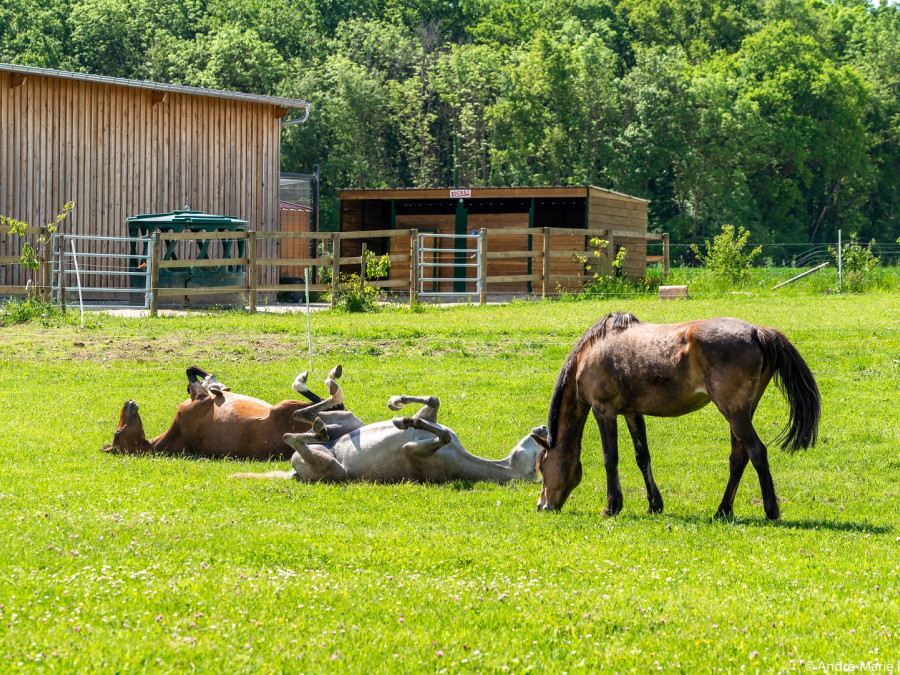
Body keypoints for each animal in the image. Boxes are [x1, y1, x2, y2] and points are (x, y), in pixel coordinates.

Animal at [536, 314, 824, 520]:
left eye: (541, 466)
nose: (542, 505)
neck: (592, 353)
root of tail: (755, 331)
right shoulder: (632, 412)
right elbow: (642, 457)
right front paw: (654, 505)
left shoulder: (603, 410)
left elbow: (611, 458)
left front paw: (612, 506)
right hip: (742, 413)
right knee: (739, 458)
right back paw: (723, 510)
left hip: (734, 413)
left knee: (757, 452)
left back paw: (770, 510)